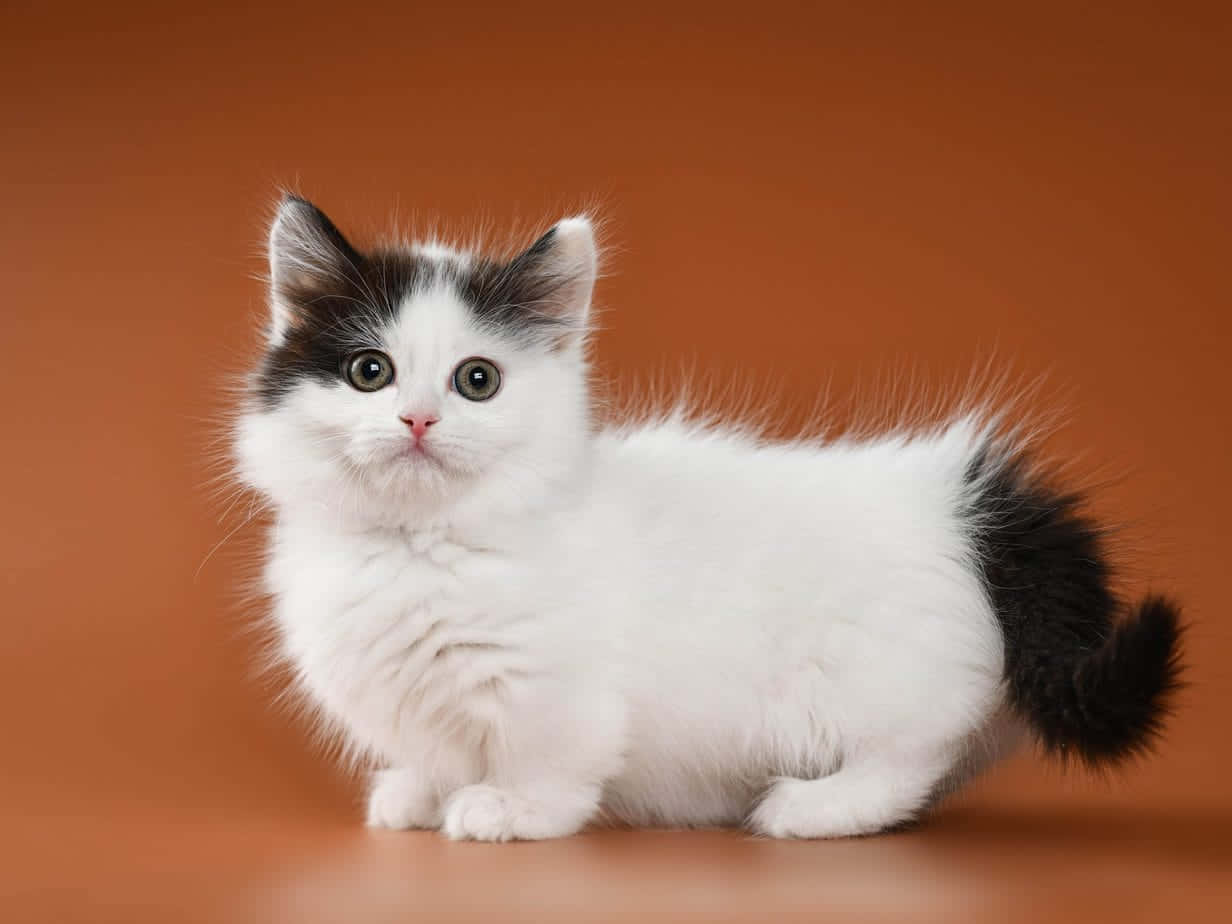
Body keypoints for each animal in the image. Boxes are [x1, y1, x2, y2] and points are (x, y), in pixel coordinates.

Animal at [232, 197, 1182, 847]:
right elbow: (436, 751)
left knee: (919, 751)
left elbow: (548, 757)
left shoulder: (550, 685)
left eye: (476, 381)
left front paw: (509, 810)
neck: (418, 544)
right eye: (370, 371)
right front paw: (420, 794)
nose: (419, 421)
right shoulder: (406, 694)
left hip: (874, 680)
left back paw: (813, 808)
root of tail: (959, 501)